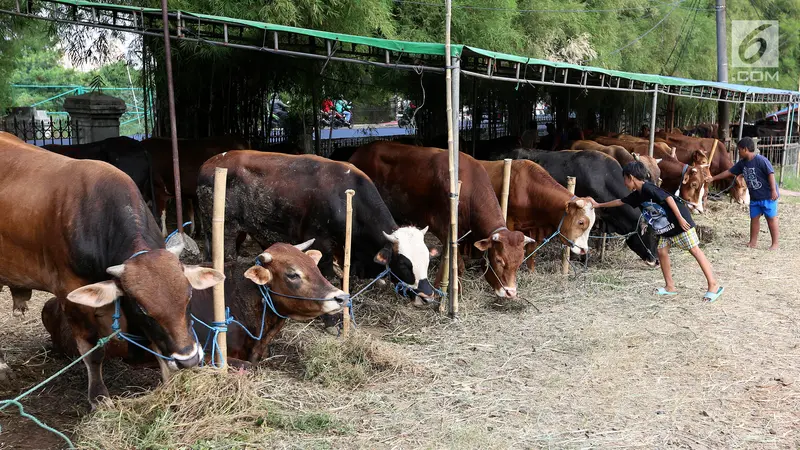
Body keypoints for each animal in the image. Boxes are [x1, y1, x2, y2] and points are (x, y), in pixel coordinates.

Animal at [0, 134, 225, 400]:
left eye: (189, 297)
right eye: (143, 309)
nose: (188, 359)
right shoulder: (72, 300)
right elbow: (93, 352)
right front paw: (98, 396)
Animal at [197, 153, 438, 304]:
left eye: (427, 259)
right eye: (404, 264)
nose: (427, 296)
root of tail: (209, 163)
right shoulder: (321, 241)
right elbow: (328, 274)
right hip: (224, 230)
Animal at [348, 141, 532, 298]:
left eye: (519, 262)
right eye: (499, 260)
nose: (510, 293)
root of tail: (359, 152)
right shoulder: (442, 228)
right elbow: (453, 261)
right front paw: (445, 290)